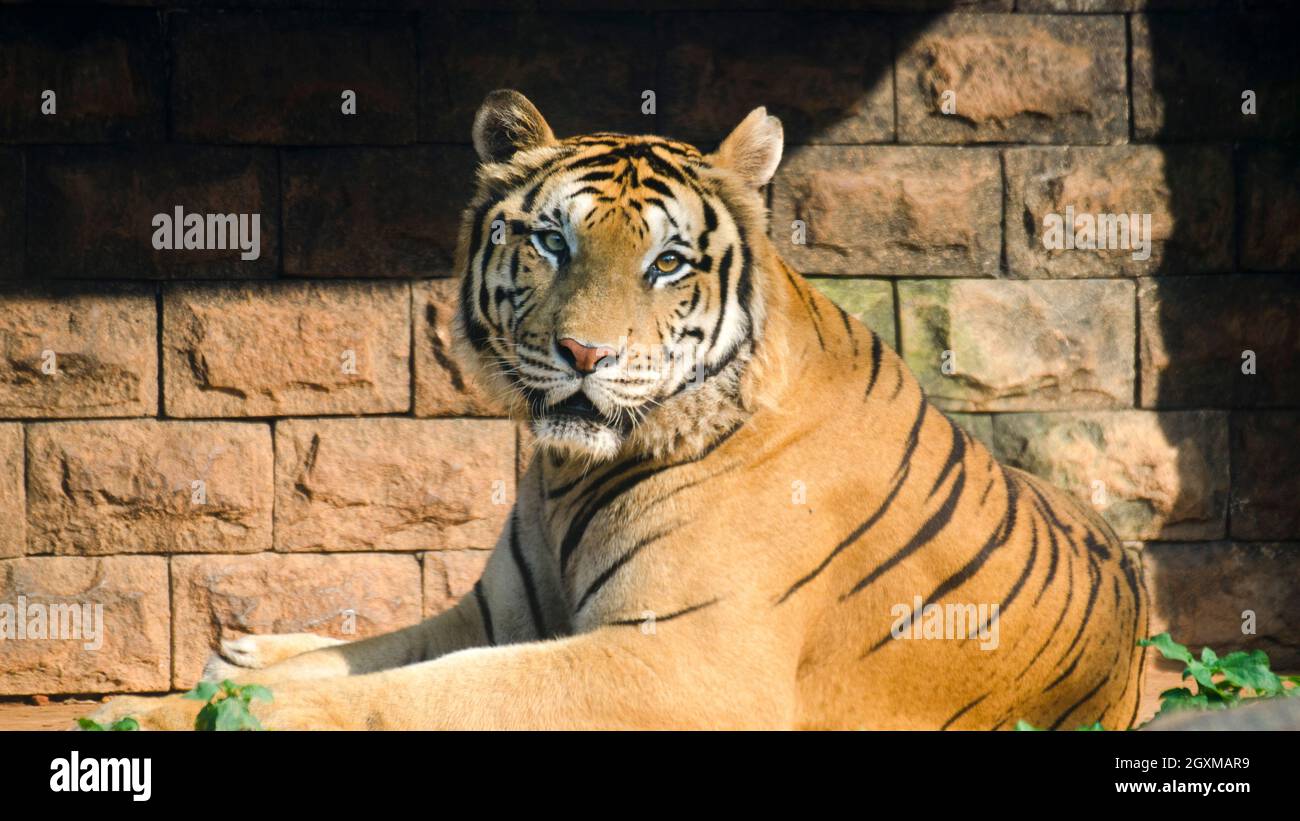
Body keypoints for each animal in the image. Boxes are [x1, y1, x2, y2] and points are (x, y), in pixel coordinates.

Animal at [90, 89, 1148, 731]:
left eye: (668, 262)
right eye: (551, 241)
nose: (585, 355)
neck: (571, 474)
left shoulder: (682, 663)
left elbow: (418, 696)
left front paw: (186, 710)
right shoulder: (497, 611)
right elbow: (379, 652)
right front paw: (237, 669)